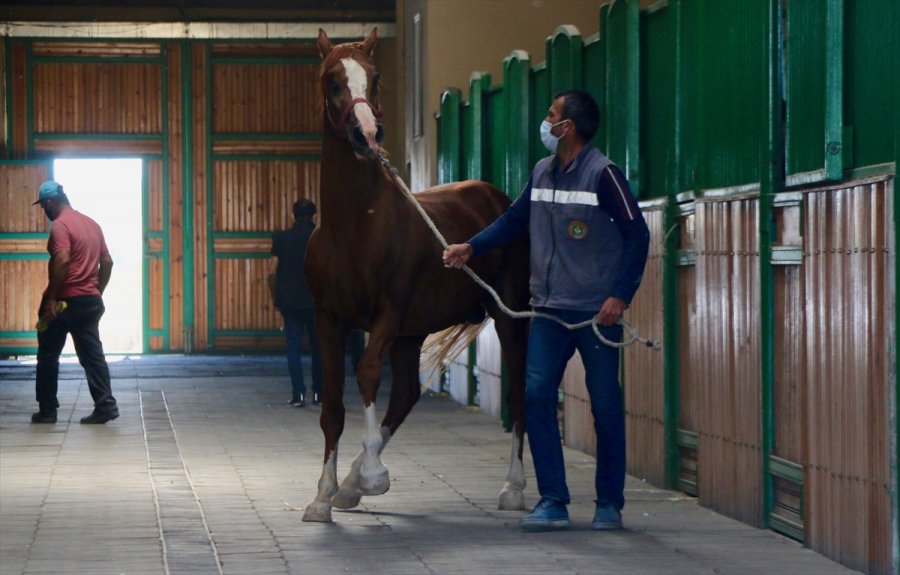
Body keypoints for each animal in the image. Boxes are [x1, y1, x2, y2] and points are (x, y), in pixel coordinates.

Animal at [298, 27, 532, 524]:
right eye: (332, 80)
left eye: (375, 77)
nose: (367, 134)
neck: (355, 227)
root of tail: (498, 198)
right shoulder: (328, 321)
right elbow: (332, 406)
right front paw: (324, 495)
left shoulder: (387, 313)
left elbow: (367, 373)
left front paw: (373, 476)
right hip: (410, 334)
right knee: (405, 393)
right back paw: (350, 485)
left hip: (507, 317)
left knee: (520, 393)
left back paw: (513, 488)